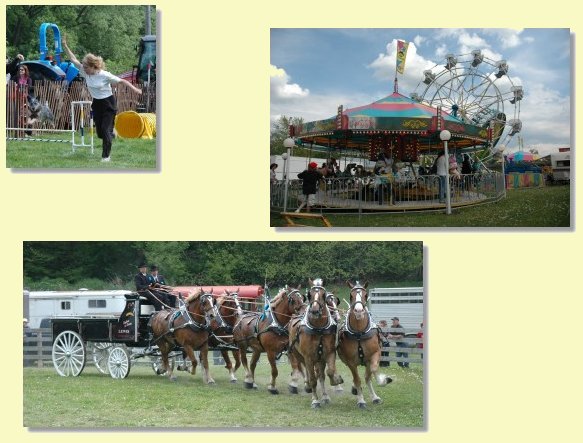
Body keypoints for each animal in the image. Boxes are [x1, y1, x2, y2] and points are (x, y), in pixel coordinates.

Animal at [288, 278, 344, 410]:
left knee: (319, 374)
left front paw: (335, 383)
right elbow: (313, 378)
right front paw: (315, 400)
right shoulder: (308, 357)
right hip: (298, 354)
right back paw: (307, 385)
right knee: (304, 369)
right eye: (309, 295)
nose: (314, 311)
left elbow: (328, 372)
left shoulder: (329, 353)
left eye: (323, 295)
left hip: (318, 358)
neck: (319, 329)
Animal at [338, 280, 392, 410]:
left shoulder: (374, 355)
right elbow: (357, 379)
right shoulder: (351, 362)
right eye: (351, 296)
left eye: (365, 295)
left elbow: (371, 372)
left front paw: (378, 391)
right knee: (355, 377)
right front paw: (361, 400)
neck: (359, 333)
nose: (358, 311)